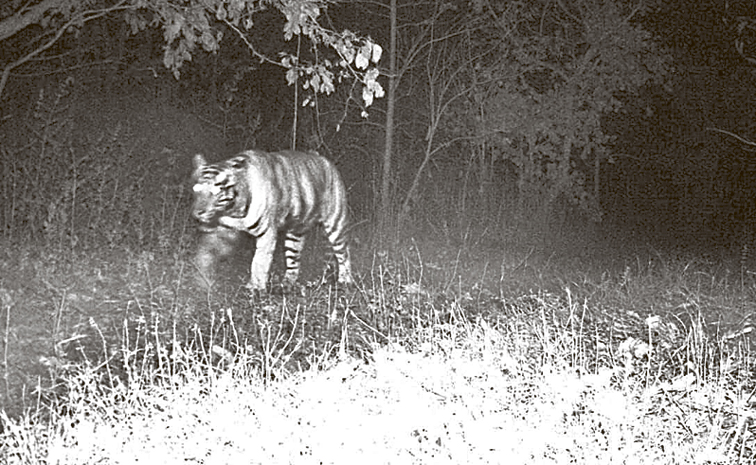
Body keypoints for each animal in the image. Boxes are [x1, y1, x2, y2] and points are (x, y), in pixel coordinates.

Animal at [191, 149, 353, 291]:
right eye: (196, 190)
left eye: (215, 192)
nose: (197, 213)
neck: (234, 210)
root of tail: (324, 159)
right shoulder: (224, 231)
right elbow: (206, 253)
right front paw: (201, 280)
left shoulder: (266, 233)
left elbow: (259, 261)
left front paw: (255, 288)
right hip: (295, 233)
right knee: (293, 260)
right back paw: (286, 284)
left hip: (335, 224)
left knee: (343, 253)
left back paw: (346, 280)